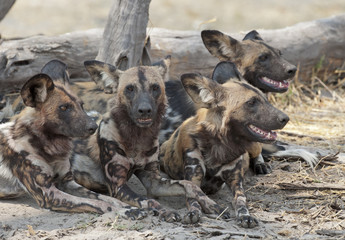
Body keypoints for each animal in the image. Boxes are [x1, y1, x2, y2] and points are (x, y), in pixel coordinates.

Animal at [0, 60, 145, 219]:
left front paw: (128, 206)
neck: (48, 148)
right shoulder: (48, 194)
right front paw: (123, 211)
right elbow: (99, 203)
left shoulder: (68, 182)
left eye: (81, 105)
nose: (94, 126)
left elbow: (106, 198)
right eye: (64, 108)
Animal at [69, 57, 228, 224]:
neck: (138, 138)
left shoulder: (154, 182)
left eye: (155, 87)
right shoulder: (118, 186)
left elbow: (190, 185)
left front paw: (211, 204)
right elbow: (149, 200)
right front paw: (165, 211)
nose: (144, 110)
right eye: (130, 89)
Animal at [160, 72, 288, 227]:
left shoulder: (236, 183)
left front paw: (246, 216)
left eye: (265, 100)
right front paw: (194, 212)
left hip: (254, 146)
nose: (286, 118)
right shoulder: (193, 180)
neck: (221, 146)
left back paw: (261, 165)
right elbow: (194, 198)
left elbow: (241, 201)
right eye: (251, 102)